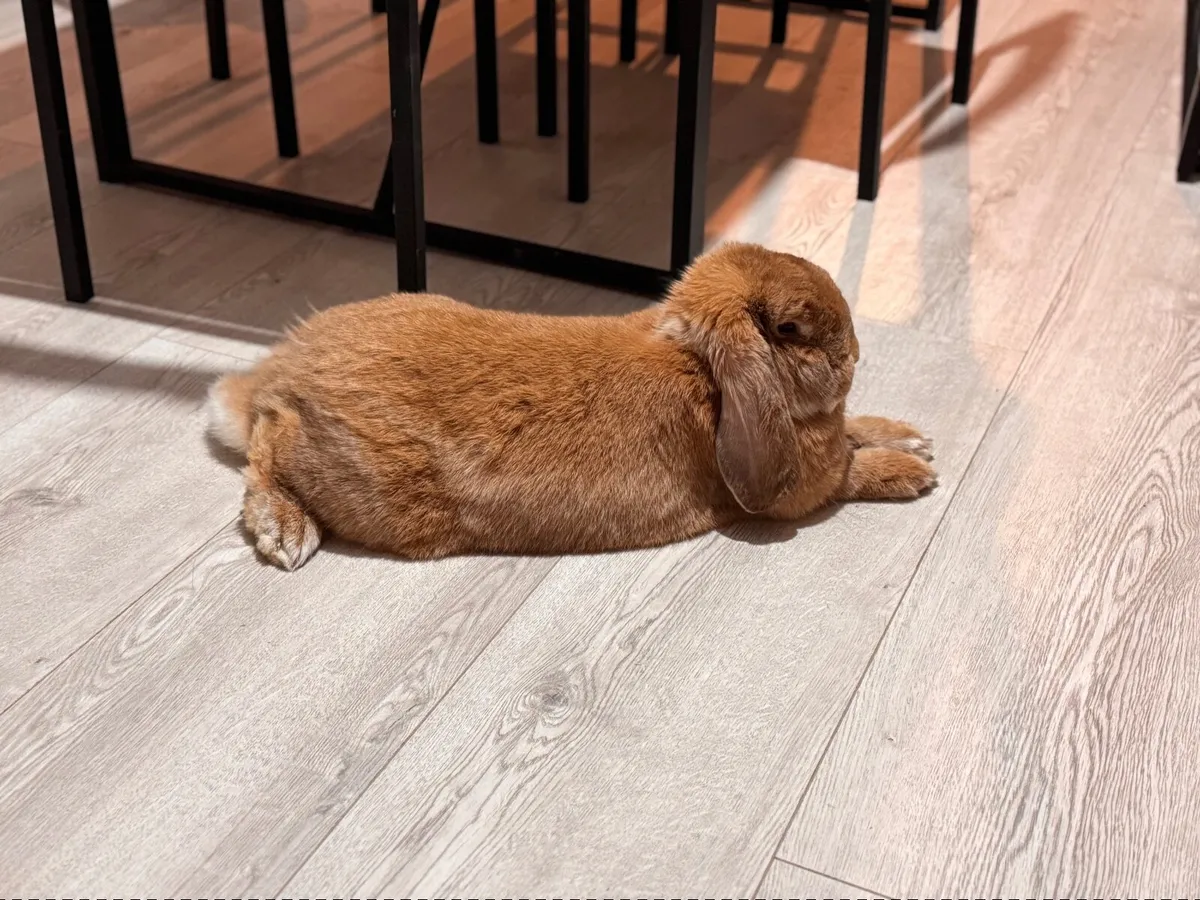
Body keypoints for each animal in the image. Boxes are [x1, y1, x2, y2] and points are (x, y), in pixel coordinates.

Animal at [206, 242, 936, 570]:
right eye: (792, 329)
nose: (855, 354)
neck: (701, 369)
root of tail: (282, 371)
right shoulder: (804, 489)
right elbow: (850, 473)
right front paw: (914, 473)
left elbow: (859, 433)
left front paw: (910, 435)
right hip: (370, 489)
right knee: (265, 451)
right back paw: (286, 530)